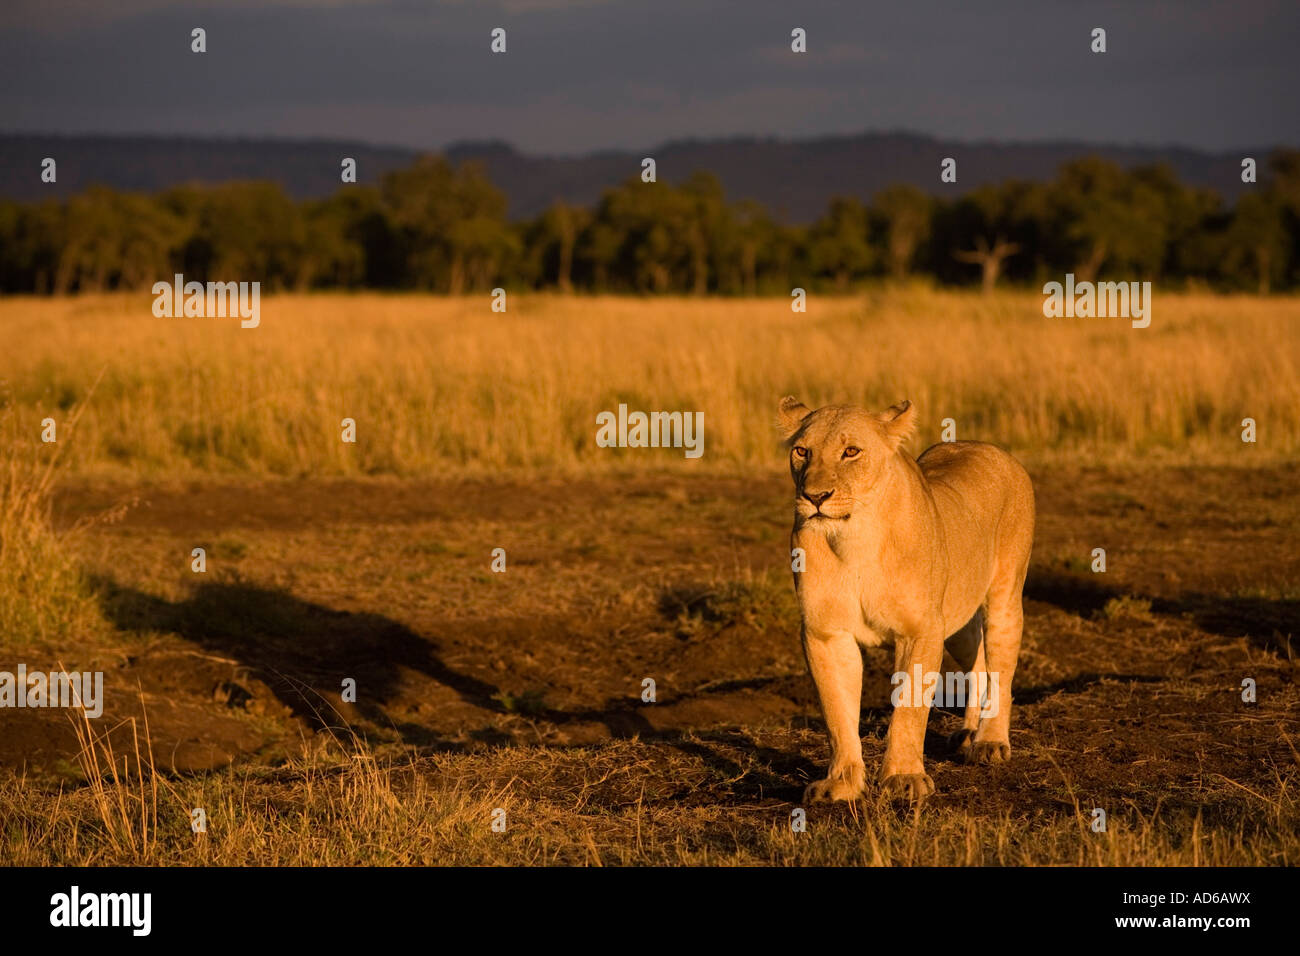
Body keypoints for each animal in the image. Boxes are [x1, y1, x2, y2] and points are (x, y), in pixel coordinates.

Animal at [779, 397, 1035, 803]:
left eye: (851, 452)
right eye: (802, 451)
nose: (815, 497)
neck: (854, 537)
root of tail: (990, 447)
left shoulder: (920, 631)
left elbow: (909, 709)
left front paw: (904, 779)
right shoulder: (825, 633)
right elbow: (837, 713)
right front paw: (841, 783)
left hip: (1004, 598)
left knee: (1001, 669)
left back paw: (989, 741)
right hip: (956, 622)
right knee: (978, 659)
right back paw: (968, 734)